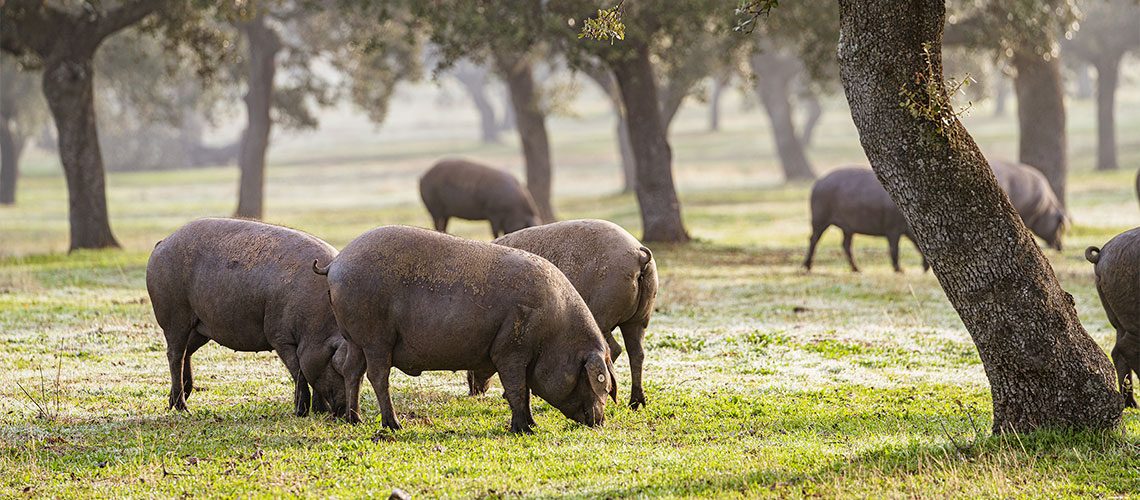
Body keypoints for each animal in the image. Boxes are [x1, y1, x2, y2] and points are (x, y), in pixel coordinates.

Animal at [149, 218, 348, 419]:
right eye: (337, 366)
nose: (344, 411)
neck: (317, 323)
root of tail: (162, 242)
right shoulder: (280, 337)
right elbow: (298, 373)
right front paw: (301, 412)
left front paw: (320, 411)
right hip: (174, 316)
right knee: (175, 354)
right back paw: (183, 408)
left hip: (201, 327)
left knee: (187, 352)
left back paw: (176, 401)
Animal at [314, 225, 615, 432]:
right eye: (594, 380)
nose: (599, 421)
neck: (554, 332)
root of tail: (336, 263)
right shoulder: (510, 350)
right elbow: (517, 388)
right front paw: (524, 430)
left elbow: (526, 390)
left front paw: (532, 424)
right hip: (376, 338)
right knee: (377, 376)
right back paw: (394, 425)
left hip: (355, 339)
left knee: (352, 371)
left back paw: (355, 420)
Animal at [460, 219, 656, 410]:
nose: (472, 392)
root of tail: (639, 255)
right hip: (640, 318)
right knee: (637, 353)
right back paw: (636, 404)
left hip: (603, 315)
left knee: (614, 348)